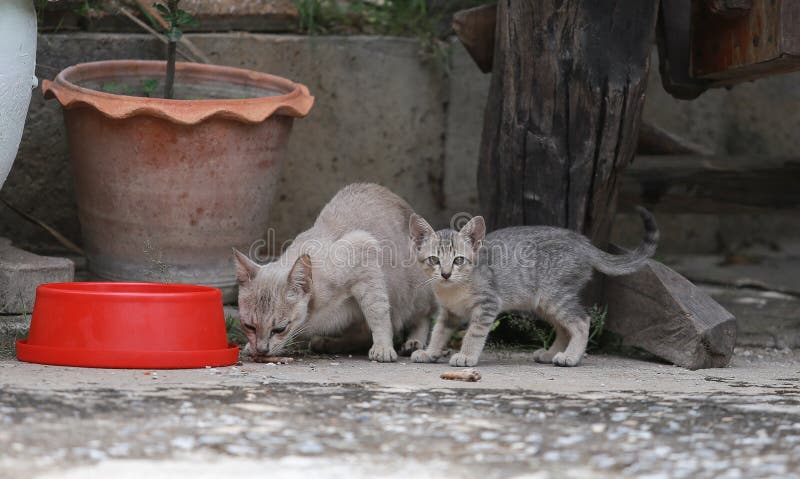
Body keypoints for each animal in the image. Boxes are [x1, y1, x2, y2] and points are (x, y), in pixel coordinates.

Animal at [234, 182, 438, 362]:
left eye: (279, 329)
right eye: (249, 327)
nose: (262, 350)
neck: (312, 314)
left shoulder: (364, 256)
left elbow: (378, 316)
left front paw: (383, 348)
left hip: (414, 290)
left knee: (422, 316)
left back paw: (414, 342)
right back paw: (328, 343)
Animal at [410, 208, 660, 370]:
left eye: (459, 260)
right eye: (434, 260)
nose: (445, 274)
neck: (453, 290)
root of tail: (583, 242)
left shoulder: (488, 304)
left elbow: (474, 333)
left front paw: (466, 355)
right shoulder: (448, 312)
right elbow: (439, 332)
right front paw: (431, 352)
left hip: (554, 296)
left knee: (581, 321)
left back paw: (571, 356)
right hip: (543, 304)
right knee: (564, 328)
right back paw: (552, 353)